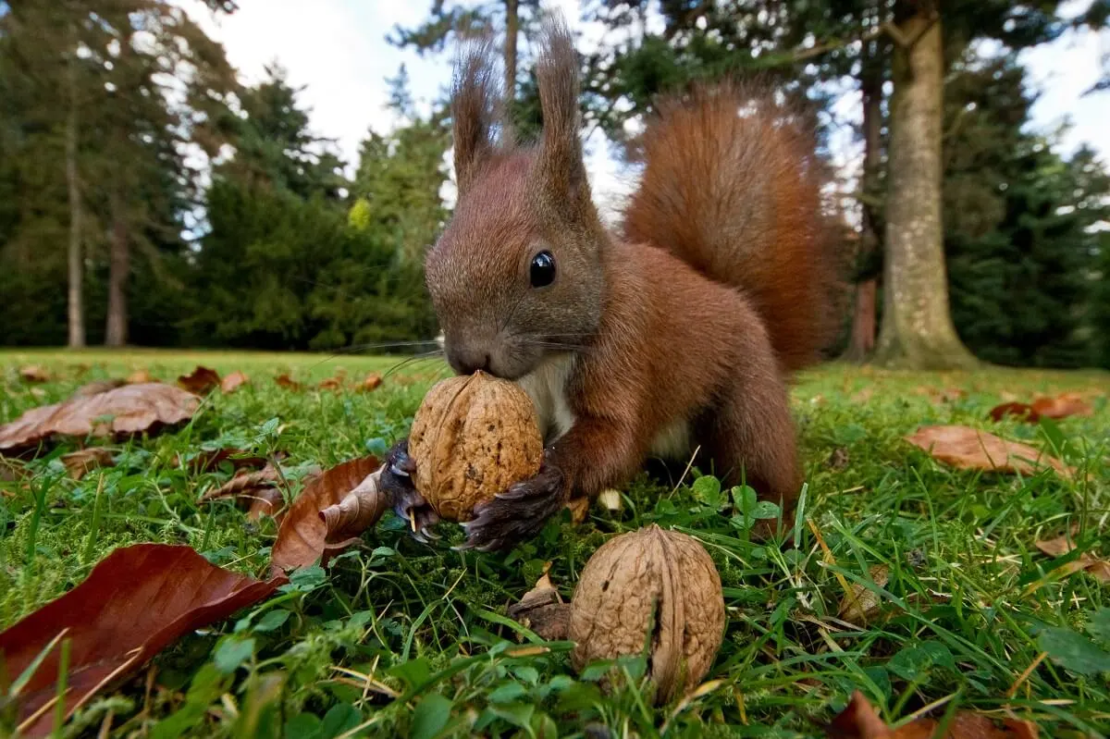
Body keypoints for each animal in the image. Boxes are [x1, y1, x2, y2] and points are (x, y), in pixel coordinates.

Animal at [386, 18, 834, 545]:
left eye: (543, 267)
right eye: (432, 263)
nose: (470, 359)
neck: (549, 359)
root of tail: (734, 297)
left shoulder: (626, 346)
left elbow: (617, 438)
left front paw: (541, 490)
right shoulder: (528, 395)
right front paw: (399, 469)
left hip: (748, 395)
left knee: (760, 458)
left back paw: (772, 520)